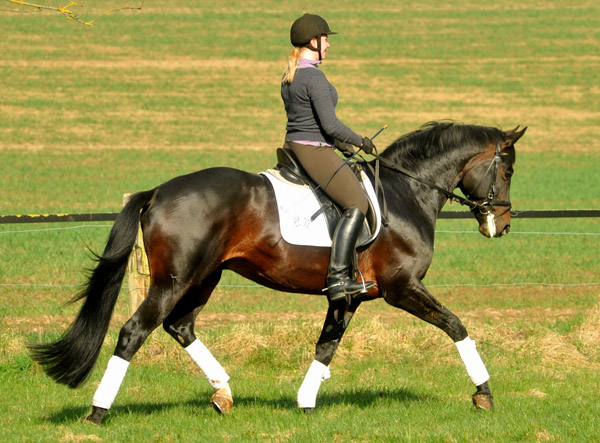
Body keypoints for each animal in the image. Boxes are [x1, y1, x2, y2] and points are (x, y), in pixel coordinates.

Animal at [29, 120, 524, 424]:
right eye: (508, 169)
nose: (501, 224)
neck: (405, 193)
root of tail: (160, 191)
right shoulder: (402, 288)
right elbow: (456, 326)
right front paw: (484, 393)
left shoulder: (349, 295)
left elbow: (326, 346)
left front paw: (306, 401)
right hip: (176, 279)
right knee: (135, 331)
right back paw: (98, 412)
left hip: (205, 277)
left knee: (180, 326)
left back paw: (223, 394)